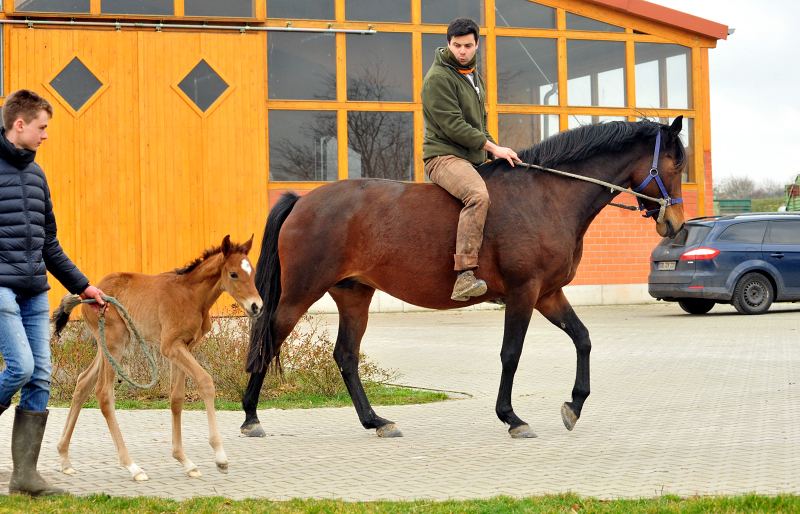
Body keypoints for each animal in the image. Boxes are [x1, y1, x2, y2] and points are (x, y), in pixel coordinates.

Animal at [50, 234, 262, 478]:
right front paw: (220, 457)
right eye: (234, 274)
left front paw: (185, 461)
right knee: (103, 393)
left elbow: (176, 399)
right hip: (115, 341)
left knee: (83, 382)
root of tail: (88, 295)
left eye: (252, 272)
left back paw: (64, 458)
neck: (191, 296)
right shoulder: (170, 347)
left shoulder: (184, 347)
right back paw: (132, 466)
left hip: (110, 345)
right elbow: (206, 382)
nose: (257, 306)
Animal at [241, 118, 684, 438]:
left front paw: (573, 407)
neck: (546, 195)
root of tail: (302, 200)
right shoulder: (525, 292)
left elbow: (583, 339)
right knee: (267, 339)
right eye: (676, 163)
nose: (676, 225)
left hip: (354, 296)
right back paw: (250, 417)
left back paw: (376, 421)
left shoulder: (548, 293)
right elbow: (511, 354)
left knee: (346, 357)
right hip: (299, 294)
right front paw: (512, 418)